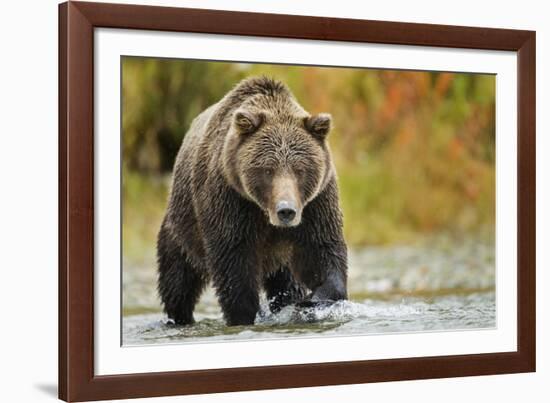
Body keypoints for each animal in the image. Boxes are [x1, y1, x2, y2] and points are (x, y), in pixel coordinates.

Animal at [157, 76, 350, 328]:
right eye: (268, 170)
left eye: (300, 170)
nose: (286, 211)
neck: (264, 212)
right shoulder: (230, 200)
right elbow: (234, 263)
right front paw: (243, 315)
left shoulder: (316, 204)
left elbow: (322, 251)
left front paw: (310, 301)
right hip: (182, 228)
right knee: (178, 281)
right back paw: (180, 318)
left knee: (286, 282)